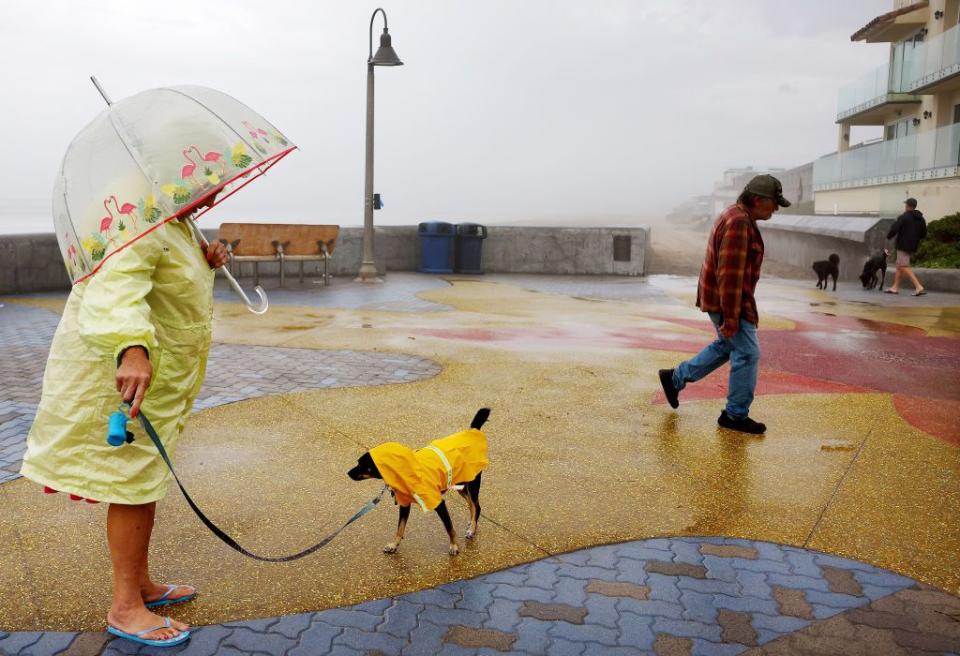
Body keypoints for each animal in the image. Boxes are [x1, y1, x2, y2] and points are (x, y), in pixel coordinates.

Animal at [348, 410, 492, 552]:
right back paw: (472, 523)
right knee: (472, 505)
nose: (348, 473)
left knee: (476, 506)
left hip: (472, 484)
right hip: (461, 486)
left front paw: (454, 545)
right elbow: (400, 527)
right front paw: (394, 544)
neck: (406, 470)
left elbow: (449, 527)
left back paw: (472, 529)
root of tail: (473, 430)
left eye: (362, 465)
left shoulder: (439, 503)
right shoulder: (405, 504)